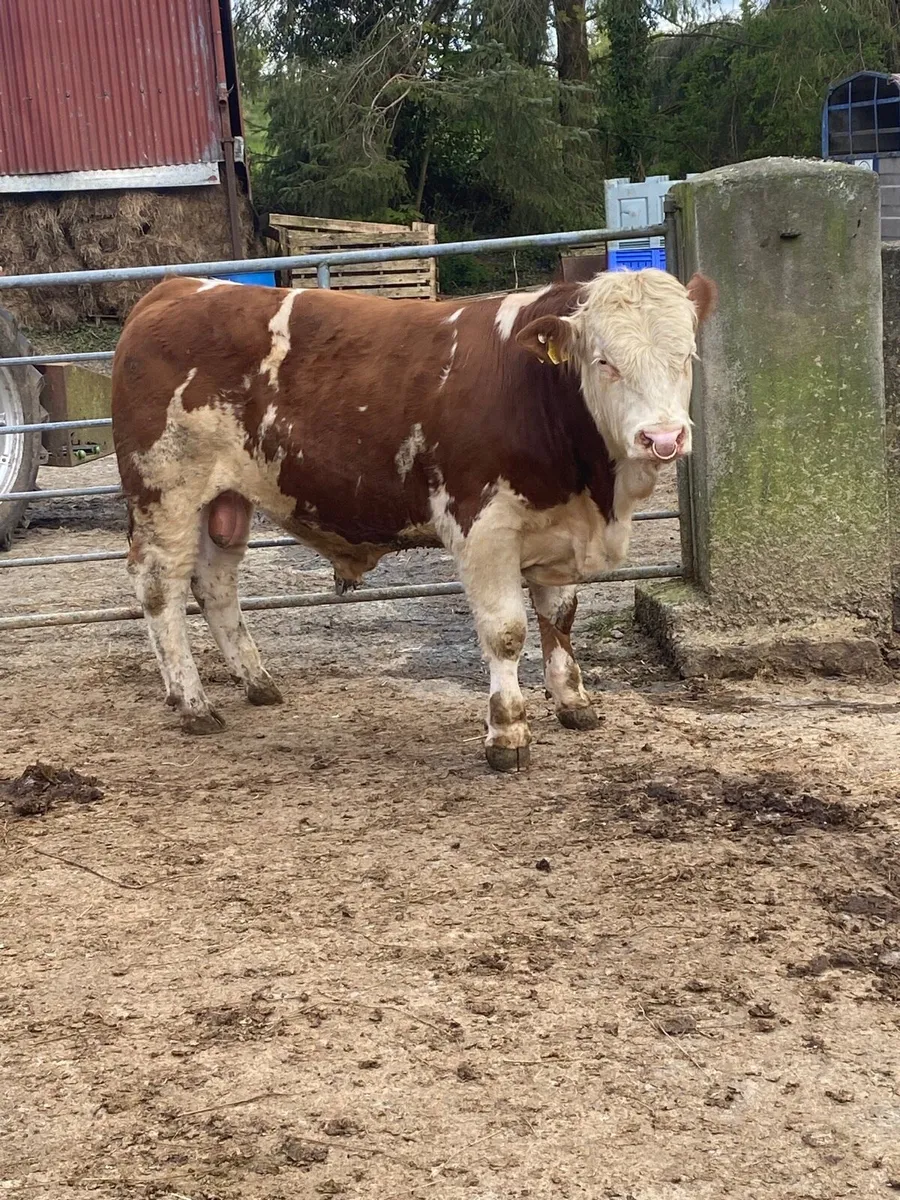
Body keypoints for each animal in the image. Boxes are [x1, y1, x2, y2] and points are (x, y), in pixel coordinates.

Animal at [111, 267, 716, 771]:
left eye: (687, 356)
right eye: (604, 361)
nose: (663, 437)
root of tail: (177, 287)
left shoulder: (558, 527)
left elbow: (559, 618)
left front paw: (573, 701)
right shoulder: (483, 527)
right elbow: (507, 632)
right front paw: (508, 733)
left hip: (225, 500)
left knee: (216, 583)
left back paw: (257, 682)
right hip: (165, 493)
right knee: (160, 589)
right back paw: (193, 703)